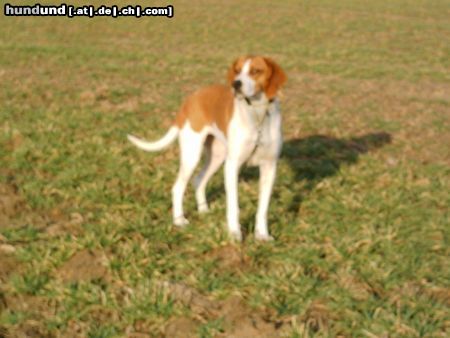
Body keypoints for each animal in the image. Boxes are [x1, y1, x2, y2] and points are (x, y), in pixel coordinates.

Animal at [128, 55, 286, 240]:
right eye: (237, 70)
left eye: (256, 71)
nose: (236, 84)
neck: (257, 115)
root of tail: (190, 98)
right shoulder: (232, 166)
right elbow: (233, 206)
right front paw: (234, 234)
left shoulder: (269, 167)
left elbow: (262, 209)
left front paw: (262, 235)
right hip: (192, 155)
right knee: (178, 187)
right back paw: (179, 220)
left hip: (217, 157)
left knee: (199, 180)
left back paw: (203, 210)